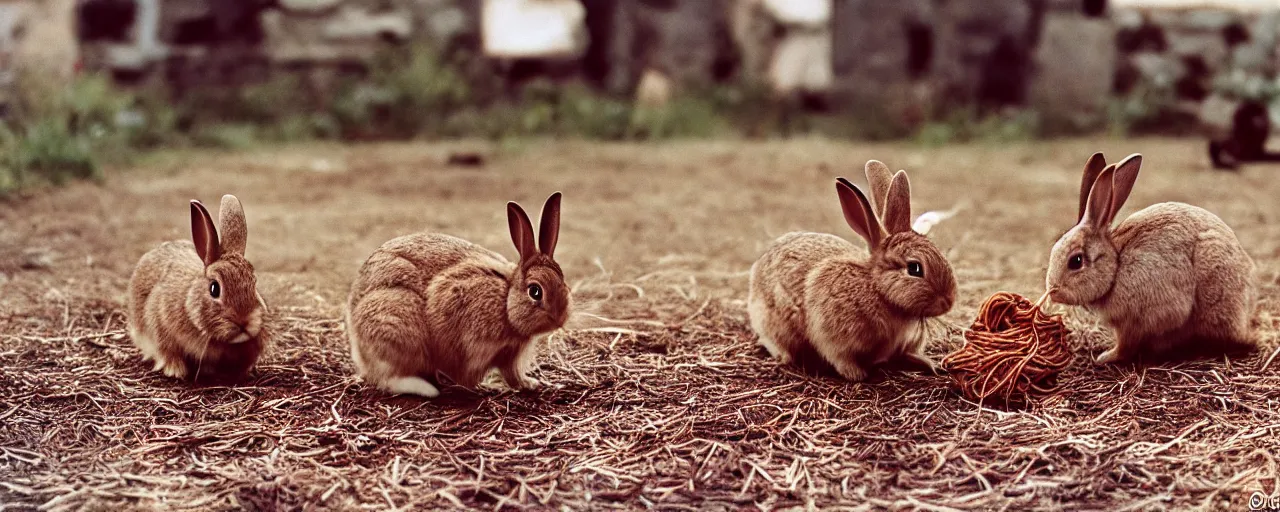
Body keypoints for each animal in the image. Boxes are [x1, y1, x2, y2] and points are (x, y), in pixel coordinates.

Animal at [127, 194, 270, 378]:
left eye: (254, 283)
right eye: (214, 288)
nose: (244, 321)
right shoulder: (159, 326)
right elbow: (168, 353)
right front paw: (176, 371)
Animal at [348, 190, 573, 396]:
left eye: (564, 282)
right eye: (535, 291)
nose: (559, 319)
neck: (506, 300)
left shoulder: (510, 354)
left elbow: (513, 376)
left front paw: (531, 384)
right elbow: (475, 377)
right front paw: (491, 387)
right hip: (398, 331)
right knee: (390, 379)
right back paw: (428, 389)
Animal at [747, 160, 957, 378]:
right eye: (915, 269)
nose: (949, 301)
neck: (878, 290)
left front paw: (930, 364)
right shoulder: (832, 336)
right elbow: (840, 358)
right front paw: (857, 374)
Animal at [1049, 152, 1259, 363]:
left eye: (1076, 261)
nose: (1052, 292)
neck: (1116, 266)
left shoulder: (1134, 320)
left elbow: (1125, 346)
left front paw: (1105, 357)